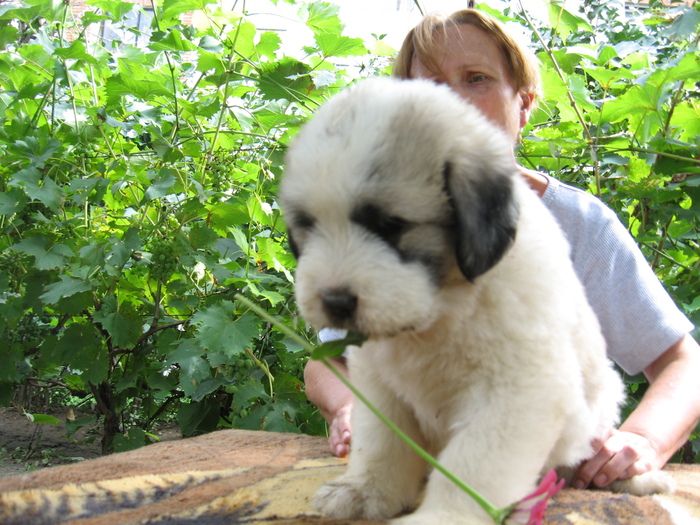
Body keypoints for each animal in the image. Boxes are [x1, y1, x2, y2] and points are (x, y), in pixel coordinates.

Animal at [278, 75, 672, 520]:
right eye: (308, 226)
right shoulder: (379, 385)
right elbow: (381, 441)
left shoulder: (517, 388)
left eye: (390, 225)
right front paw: (364, 491)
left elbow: (474, 463)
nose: (335, 301)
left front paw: (444, 517)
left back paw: (636, 479)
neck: (440, 309)